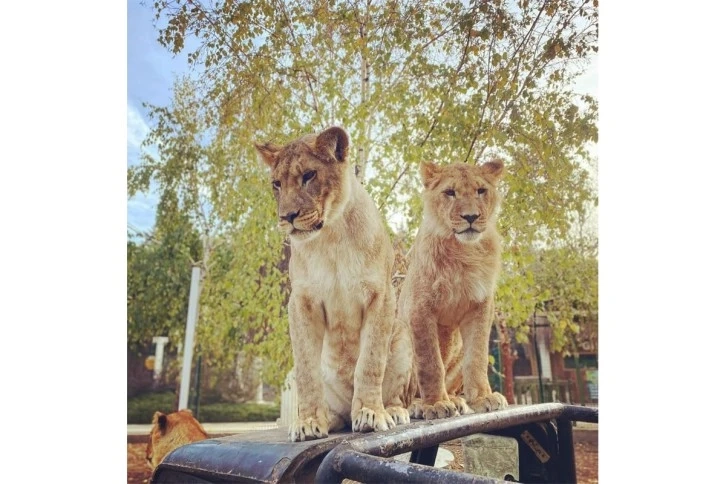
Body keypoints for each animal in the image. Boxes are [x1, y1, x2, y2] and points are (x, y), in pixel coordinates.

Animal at [256, 126, 416, 440]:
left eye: (309, 175)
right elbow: (307, 370)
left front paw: (370, 413)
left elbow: (369, 362)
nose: (287, 217)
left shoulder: (381, 296)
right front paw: (307, 422)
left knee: (394, 393)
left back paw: (392, 411)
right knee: (333, 407)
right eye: (276, 184)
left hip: (403, 338)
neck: (332, 237)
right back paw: (328, 417)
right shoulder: (301, 302)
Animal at [398, 160, 512, 420]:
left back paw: (457, 400)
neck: (464, 251)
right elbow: (430, 362)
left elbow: (477, 357)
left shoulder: (480, 307)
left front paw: (482, 398)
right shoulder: (418, 308)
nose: (471, 216)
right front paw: (435, 404)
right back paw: (420, 404)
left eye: (481, 191)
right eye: (450, 192)